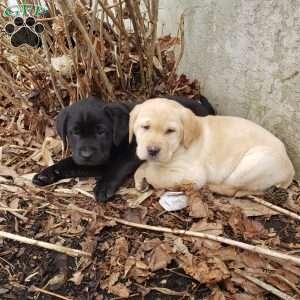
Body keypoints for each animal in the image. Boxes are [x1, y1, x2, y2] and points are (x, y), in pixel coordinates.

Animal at [32, 96, 216, 202]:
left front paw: (104, 186)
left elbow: (118, 166)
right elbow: (68, 163)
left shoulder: (132, 152)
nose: (86, 154)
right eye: (75, 132)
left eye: (101, 131)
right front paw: (46, 174)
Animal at [129, 98, 296, 197]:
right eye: (145, 127)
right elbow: (147, 166)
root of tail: (290, 170)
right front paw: (140, 177)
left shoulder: (191, 174)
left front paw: (147, 175)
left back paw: (211, 187)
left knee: (232, 189)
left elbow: (155, 174)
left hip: (254, 162)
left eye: (170, 131)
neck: (179, 147)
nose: (152, 150)